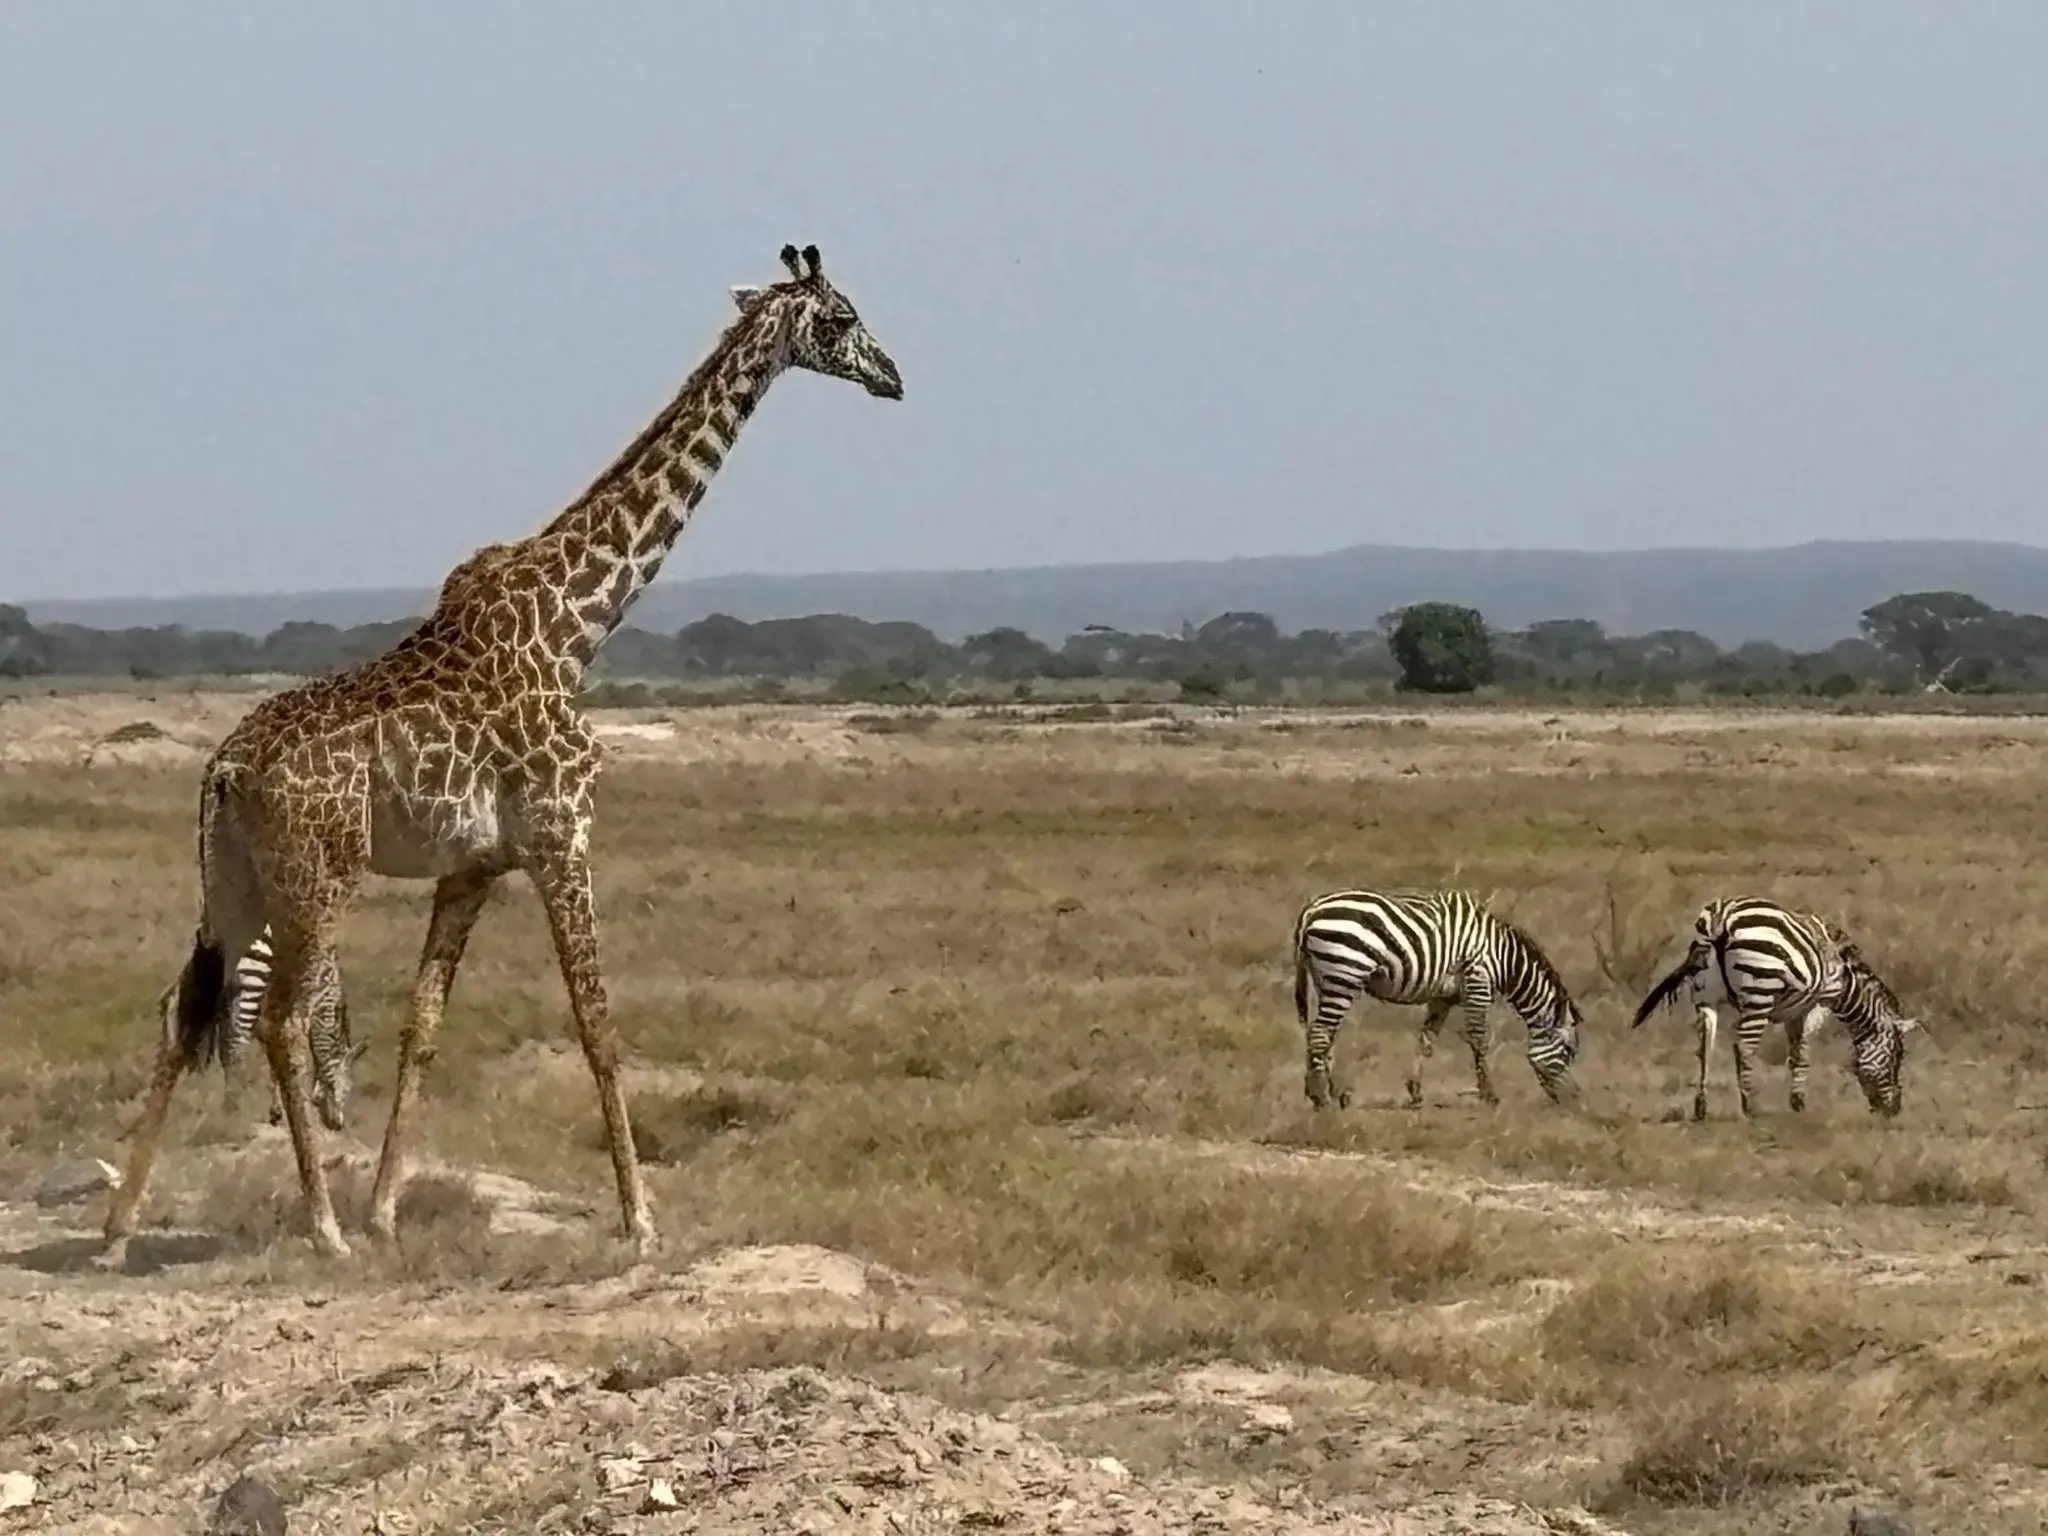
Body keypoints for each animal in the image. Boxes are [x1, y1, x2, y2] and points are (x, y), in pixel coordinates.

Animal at [103, 244, 903, 1259]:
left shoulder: (474, 865)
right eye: (842, 319)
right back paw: (320, 1230)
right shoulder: (563, 836)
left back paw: (121, 1226)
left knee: (185, 1008)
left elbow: (423, 1025)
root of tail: (225, 770)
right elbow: (597, 1023)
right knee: (276, 1017)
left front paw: (387, 1211)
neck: (579, 622)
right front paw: (642, 1221)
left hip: (234, 881)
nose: (894, 378)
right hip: (319, 877)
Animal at [1291, 887, 1585, 1110]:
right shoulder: (1478, 981)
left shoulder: (1444, 997)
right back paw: (1322, 1098)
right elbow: (1479, 1039)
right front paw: (1490, 1095)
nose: (1574, 1099)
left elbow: (1427, 1039)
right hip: (1345, 972)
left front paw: (1415, 1091)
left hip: (1326, 979)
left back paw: (1330, 1092)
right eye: (1569, 1052)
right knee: (1320, 1033)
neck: (1505, 960)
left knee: (1322, 1034)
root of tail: (1311, 910)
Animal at [1631, 896, 1925, 1120]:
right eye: (1897, 1056)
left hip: (1705, 996)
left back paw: (1701, 1106)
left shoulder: (1794, 1011)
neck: (1846, 981)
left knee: (1705, 1046)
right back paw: (1751, 1106)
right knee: (1744, 1046)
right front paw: (1799, 1102)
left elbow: (1795, 1051)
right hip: (1760, 991)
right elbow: (1803, 1051)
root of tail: (1722, 919)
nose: (1893, 1110)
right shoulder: (1817, 1003)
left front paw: (1795, 1099)